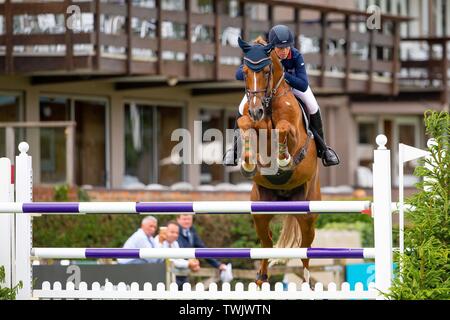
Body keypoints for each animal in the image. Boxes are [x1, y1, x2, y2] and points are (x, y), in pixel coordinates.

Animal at [237, 37, 322, 284]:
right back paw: (261, 276)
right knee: (266, 242)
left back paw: (306, 282)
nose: (256, 110)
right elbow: (244, 124)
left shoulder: (294, 133)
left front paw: (283, 159)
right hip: (260, 212)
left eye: (266, 71)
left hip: (308, 213)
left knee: (305, 248)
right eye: (244, 71)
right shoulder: (251, 121)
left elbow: (283, 128)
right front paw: (247, 161)